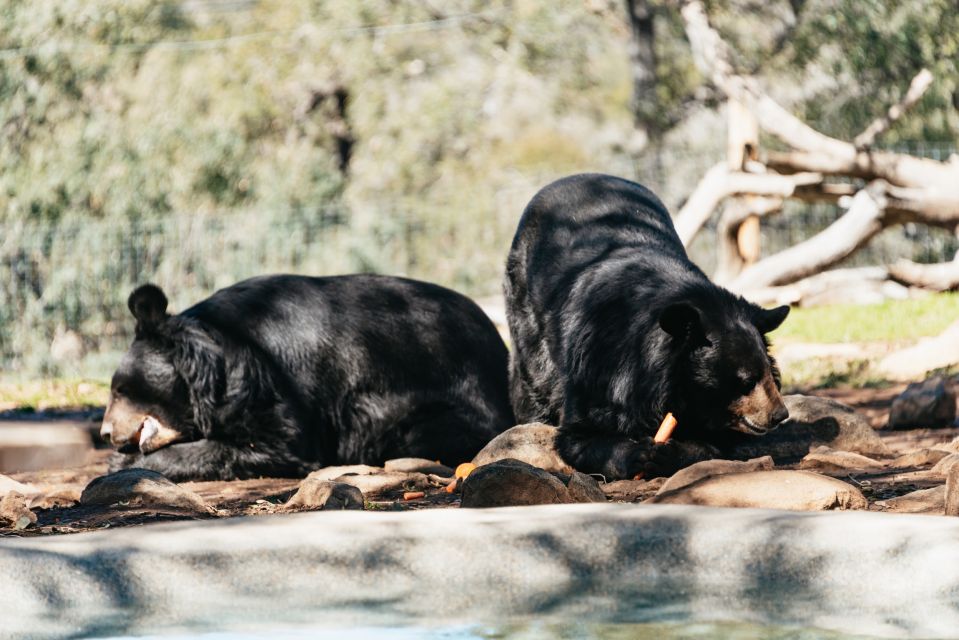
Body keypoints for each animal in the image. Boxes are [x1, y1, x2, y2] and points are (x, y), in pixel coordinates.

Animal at [506, 175, 792, 480]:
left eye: (769, 374)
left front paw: (669, 453)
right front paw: (638, 453)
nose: (779, 415)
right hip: (525, 309)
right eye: (746, 381)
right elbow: (579, 434)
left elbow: (712, 442)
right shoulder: (599, 361)